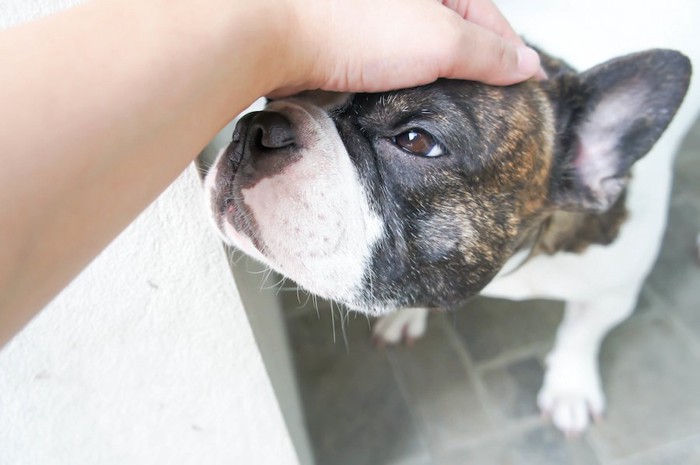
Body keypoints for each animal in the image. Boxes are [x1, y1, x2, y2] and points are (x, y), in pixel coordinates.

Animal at [205, 47, 692, 436]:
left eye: (417, 141)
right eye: (272, 96)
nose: (257, 126)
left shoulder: (614, 293)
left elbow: (582, 333)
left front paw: (570, 388)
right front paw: (408, 316)